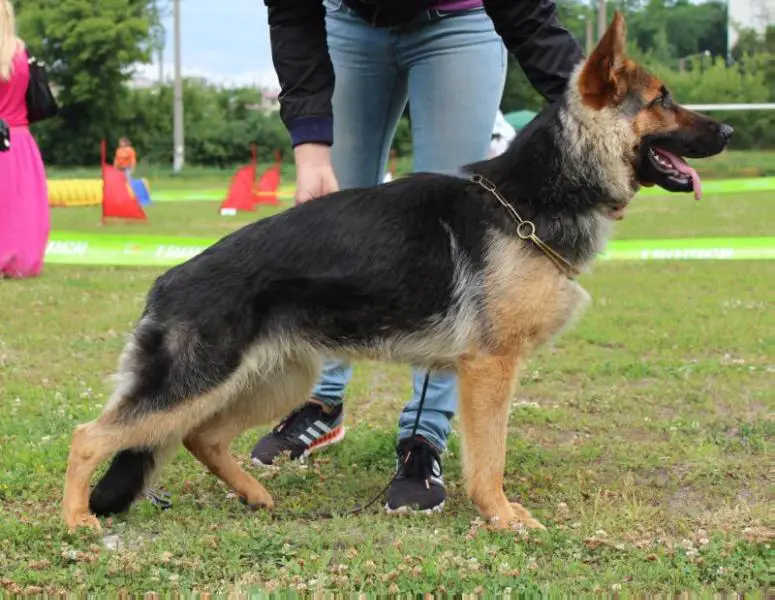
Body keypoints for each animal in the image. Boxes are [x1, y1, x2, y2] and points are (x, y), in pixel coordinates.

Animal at [62, 12, 732, 528]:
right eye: (663, 99)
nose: (728, 128)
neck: (533, 194)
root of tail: (165, 281)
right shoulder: (491, 369)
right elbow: (490, 458)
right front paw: (501, 516)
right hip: (195, 383)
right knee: (89, 436)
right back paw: (77, 522)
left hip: (276, 379)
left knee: (199, 436)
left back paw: (254, 496)